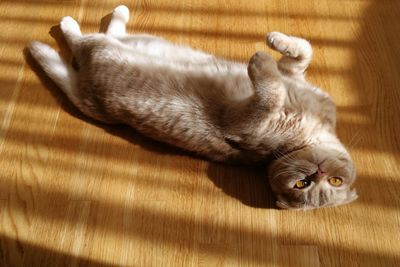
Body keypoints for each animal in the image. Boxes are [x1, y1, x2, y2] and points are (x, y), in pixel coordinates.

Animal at [28, 3, 360, 209]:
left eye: (305, 185)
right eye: (333, 180)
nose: (317, 173)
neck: (314, 131)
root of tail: (84, 92)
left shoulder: (243, 123)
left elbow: (271, 91)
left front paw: (259, 61)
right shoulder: (293, 73)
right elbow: (303, 49)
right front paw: (274, 43)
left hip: (103, 54)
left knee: (79, 42)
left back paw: (58, 31)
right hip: (135, 42)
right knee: (110, 33)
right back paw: (117, 12)